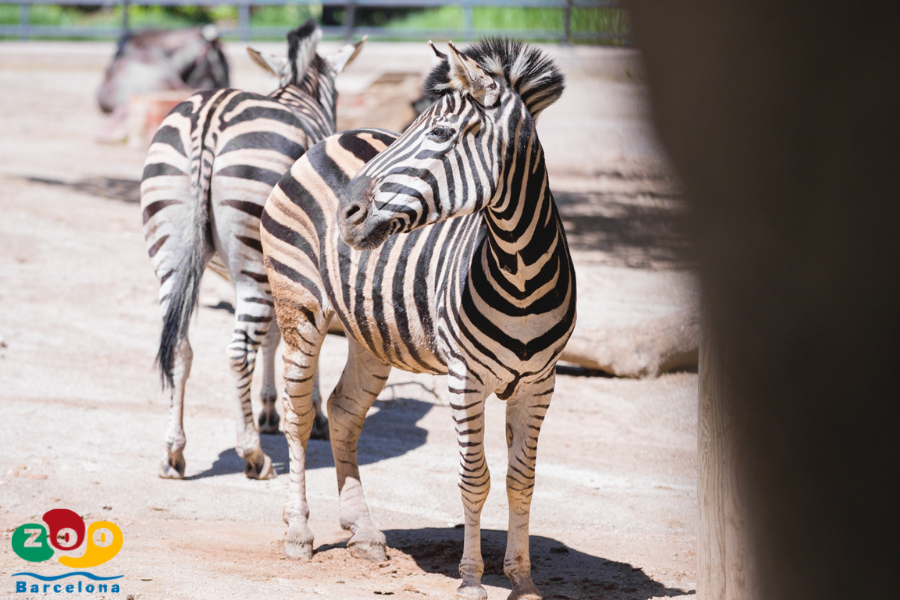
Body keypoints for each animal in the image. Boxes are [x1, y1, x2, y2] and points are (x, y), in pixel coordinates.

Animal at [139, 19, 364, 482]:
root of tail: (210, 116)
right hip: (249, 255)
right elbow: (300, 342)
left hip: (170, 243)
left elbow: (278, 337)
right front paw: (310, 417)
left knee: (180, 346)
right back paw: (253, 454)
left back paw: (173, 453)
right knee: (237, 352)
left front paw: (272, 410)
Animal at [256, 38, 572, 600]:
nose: (346, 214)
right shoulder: (465, 379)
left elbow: (522, 480)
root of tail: (334, 135)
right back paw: (299, 533)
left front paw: (522, 580)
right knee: (298, 417)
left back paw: (362, 534)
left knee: (343, 412)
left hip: (371, 333)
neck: (521, 272)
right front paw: (471, 579)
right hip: (300, 308)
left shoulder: (540, 383)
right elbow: (475, 478)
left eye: (441, 134)